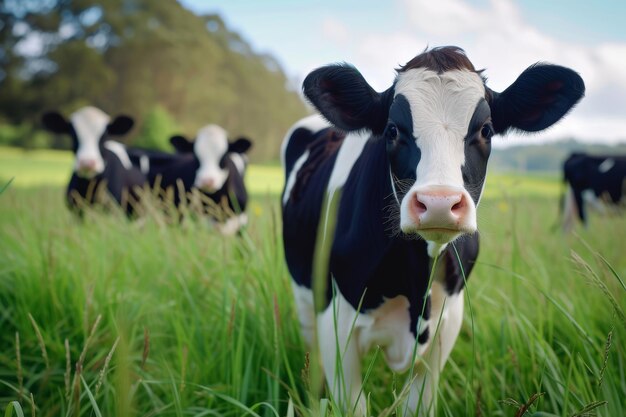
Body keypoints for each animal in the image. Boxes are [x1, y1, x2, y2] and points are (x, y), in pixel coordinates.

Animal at [280, 46, 584, 416]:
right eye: (392, 130)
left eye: (486, 130)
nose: (439, 202)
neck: (415, 285)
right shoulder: (335, 323)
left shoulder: (446, 324)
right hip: (306, 297)